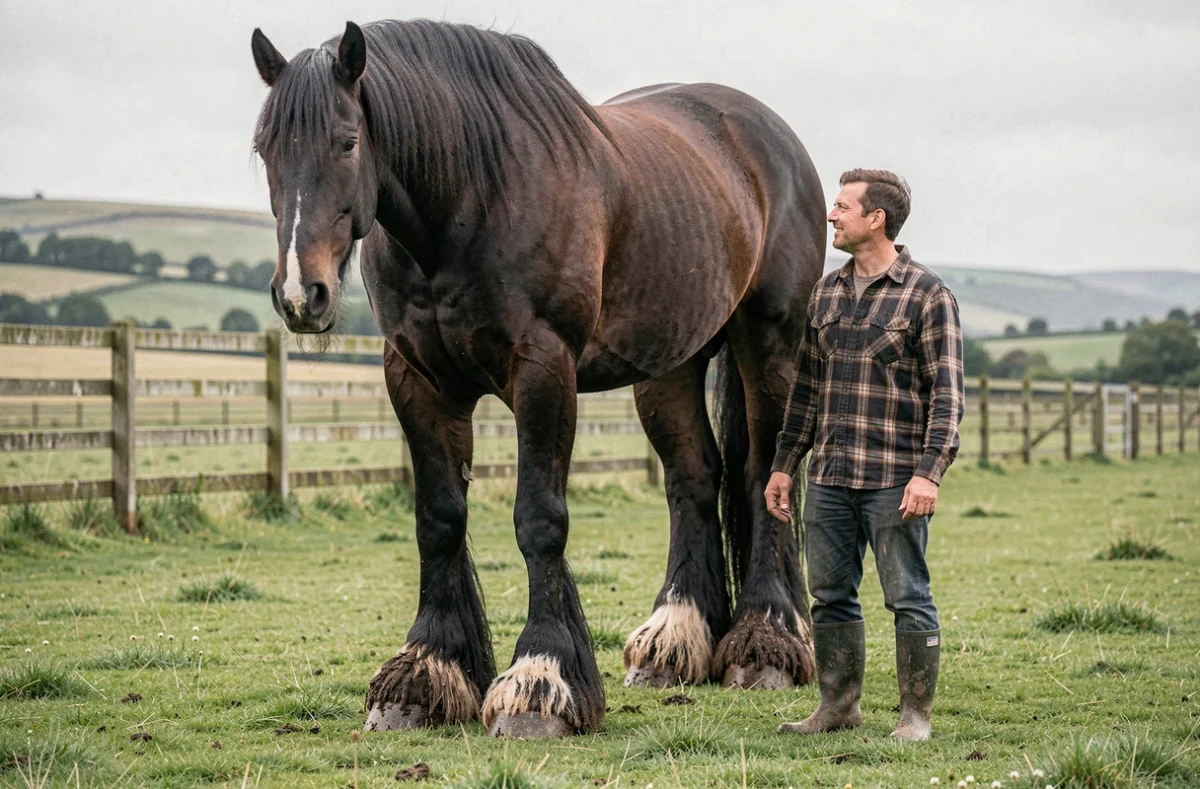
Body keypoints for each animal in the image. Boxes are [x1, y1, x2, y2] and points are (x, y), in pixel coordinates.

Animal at [250, 19, 826, 738]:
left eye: (347, 141)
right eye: (264, 150)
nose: (302, 294)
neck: (472, 197)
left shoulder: (543, 370)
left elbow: (539, 519)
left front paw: (539, 679)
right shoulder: (416, 378)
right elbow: (439, 517)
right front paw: (425, 673)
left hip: (770, 341)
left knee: (761, 478)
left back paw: (766, 641)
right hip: (670, 363)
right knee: (694, 479)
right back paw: (674, 640)